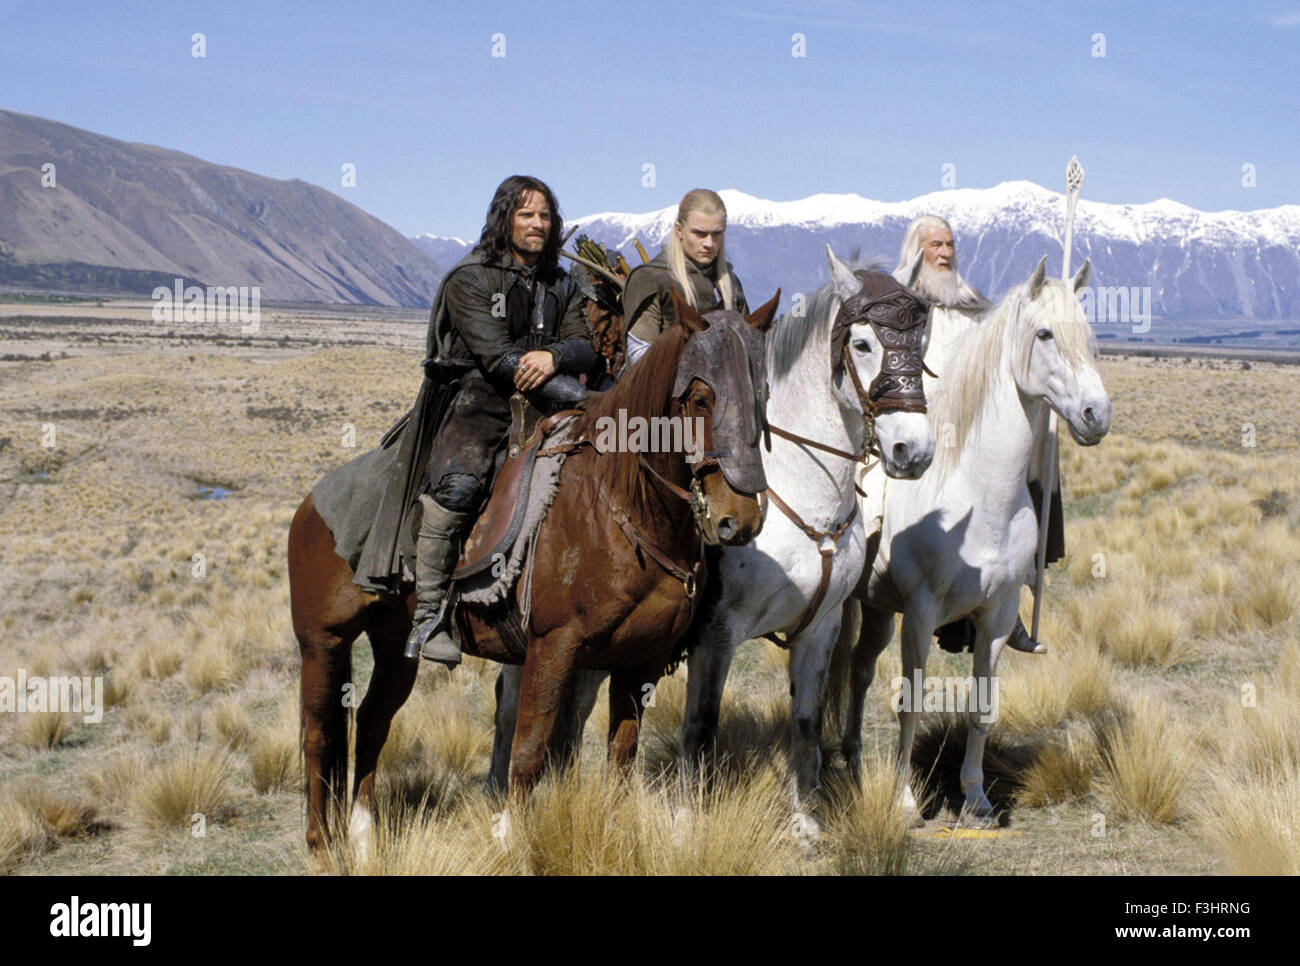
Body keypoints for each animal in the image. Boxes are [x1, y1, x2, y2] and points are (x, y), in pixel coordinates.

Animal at [289, 291, 774, 858]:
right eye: (699, 398)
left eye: (762, 396)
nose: (738, 519)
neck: (615, 506)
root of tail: (311, 503)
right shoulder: (552, 646)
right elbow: (529, 749)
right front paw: (510, 836)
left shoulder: (640, 660)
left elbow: (621, 753)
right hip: (322, 642)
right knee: (319, 734)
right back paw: (321, 844)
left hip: (393, 644)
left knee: (371, 720)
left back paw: (365, 838)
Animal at [488, 245, 935, 811]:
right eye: (862, 343)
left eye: (921, 340)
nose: (912, 450)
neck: (802, 495)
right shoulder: (717, 634)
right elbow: (699, 730)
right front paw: (685, 819)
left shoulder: (821, 627)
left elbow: (806, 726)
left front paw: (806, 819)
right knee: (511, 703)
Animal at [842, 254, 1107, 821]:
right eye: (1045, 334)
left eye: (1089, 334)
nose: (1097, 415)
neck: (980, 495)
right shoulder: (921, 614)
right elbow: (912, 702)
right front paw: (903, 801)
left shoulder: (999, 617)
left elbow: (982, 706)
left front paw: (976, 797)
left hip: (876, 608)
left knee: (858, 671)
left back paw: (851, 758)